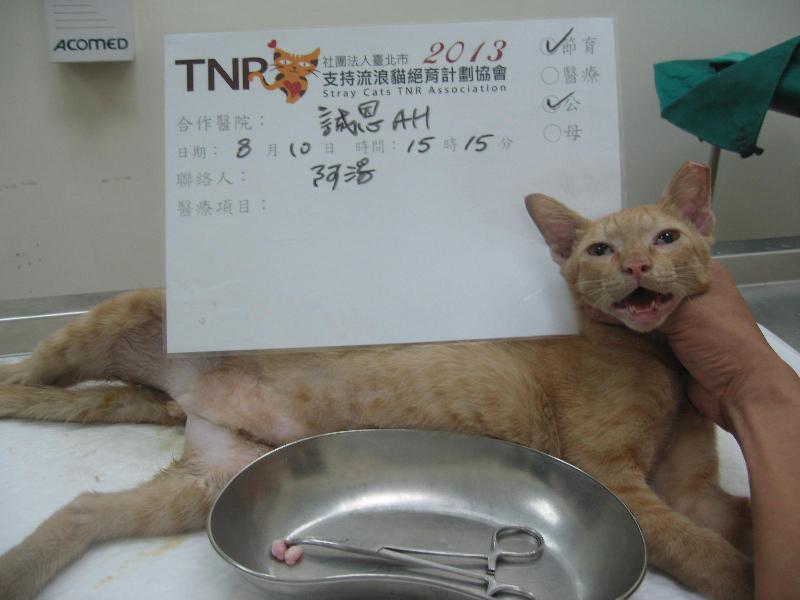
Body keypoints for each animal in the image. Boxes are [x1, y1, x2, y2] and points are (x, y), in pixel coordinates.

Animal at [0, 161, 752, 600]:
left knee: (83, 505)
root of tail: (182, 401)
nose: (634, 266)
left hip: (204, 484)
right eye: (599, 249)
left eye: (665, 237)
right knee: (21, 376)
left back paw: (19, 569)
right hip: (110, 324)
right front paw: (744, 577)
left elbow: (738, 521)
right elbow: (704, 551)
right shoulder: (618, 478)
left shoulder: (693, 489)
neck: (659, 360)